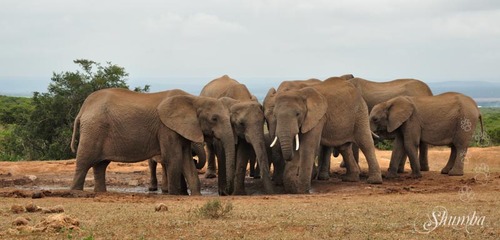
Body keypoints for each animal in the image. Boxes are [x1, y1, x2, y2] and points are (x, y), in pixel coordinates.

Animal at [69, 88, 235, 195]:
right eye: (214, 119)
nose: (227, 192)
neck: (193, 99)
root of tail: (83, 109)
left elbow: (186, 160)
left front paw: (195, 195)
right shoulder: (166, 128)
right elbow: (174, 158)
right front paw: (175, 195)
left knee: (101, 165)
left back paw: (101, 193)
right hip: (93, 129)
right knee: (84, 161)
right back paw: (75, 192)